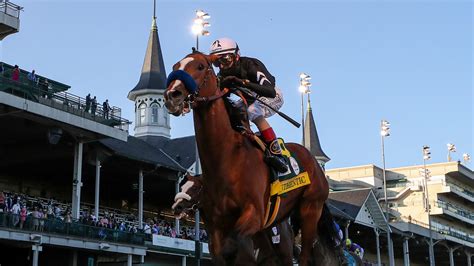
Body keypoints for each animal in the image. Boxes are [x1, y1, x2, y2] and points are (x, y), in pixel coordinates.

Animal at [165, 52, 332, 266]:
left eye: (201, 66)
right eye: (175, 66)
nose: (172, 95)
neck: (226, 159)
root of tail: (314, 162)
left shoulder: (254, 214)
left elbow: (236, 248)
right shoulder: (215, 227)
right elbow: (223, 252)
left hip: (310, 209)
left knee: (304, 255)